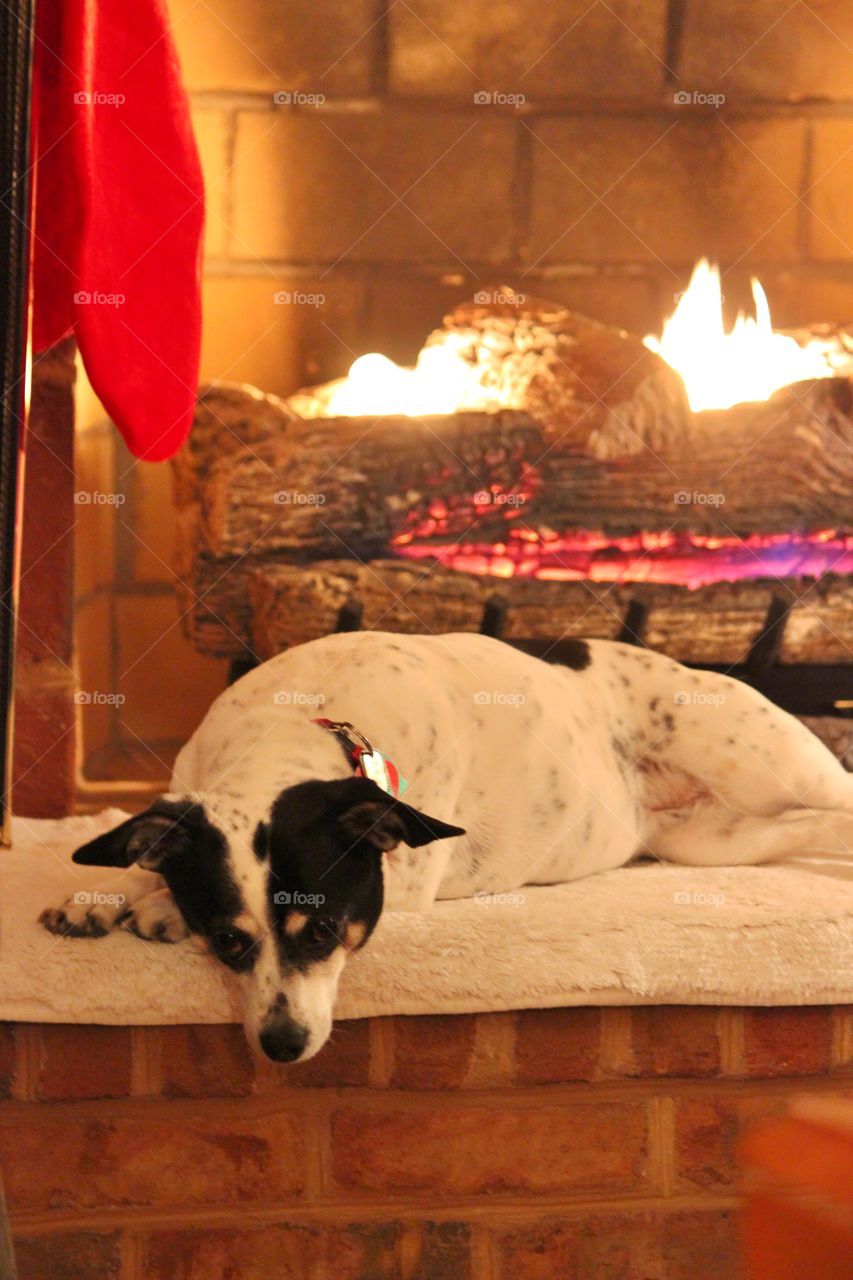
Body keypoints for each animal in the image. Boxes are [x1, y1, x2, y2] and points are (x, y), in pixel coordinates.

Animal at [41, 629, 850, 1059]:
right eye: (230, 943)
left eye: (325, 931)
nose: (282, 1044)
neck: (299, 723)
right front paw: (108, 894)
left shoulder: (407, 880)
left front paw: (158, 907)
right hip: (710, 841)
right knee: (810, 827)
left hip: (753, 761)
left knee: (834, 794)